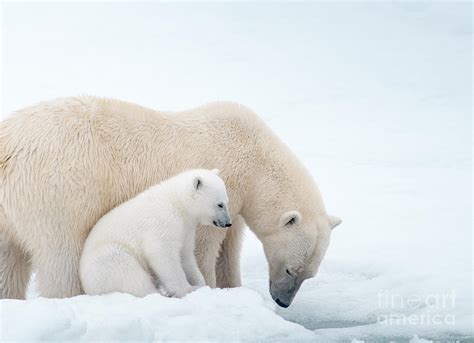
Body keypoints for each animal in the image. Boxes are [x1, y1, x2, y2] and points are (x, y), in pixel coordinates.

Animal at [0, 96, 340, 306]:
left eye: (308, 275)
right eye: (291, 270)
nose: (282, 301)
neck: (255, 156)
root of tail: (9, 146)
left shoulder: (237, 203)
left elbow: (230, 248)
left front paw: (232, 287)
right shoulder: (219, 187)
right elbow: (203, 247)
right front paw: (208, 288)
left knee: (8, 264)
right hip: (59, 192)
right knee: (62, 256)